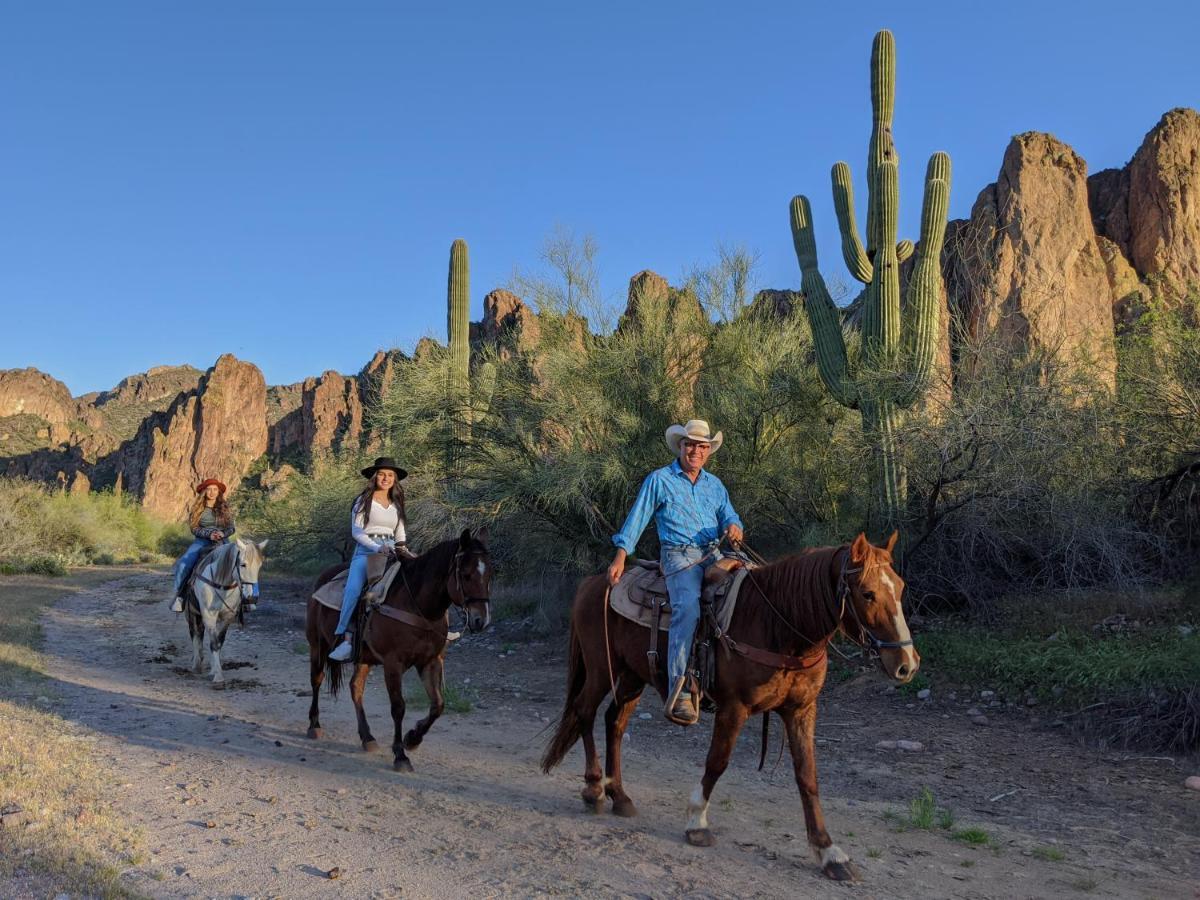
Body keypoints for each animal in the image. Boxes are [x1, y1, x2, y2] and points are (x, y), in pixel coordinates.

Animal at [184, 540, 267, 696]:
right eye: (243, 564)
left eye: (259, 565)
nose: (252, 599)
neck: (221, 584)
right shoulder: (208, 615)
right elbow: (213, 643)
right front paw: (218, 677)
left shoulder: (227, 617)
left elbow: (219, 642)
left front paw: (214, 671)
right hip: (192, 613)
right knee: (195, 634)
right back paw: (196, 664)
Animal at [304, 528, 492, 777]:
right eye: (466, 575)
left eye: (490, 575)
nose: (481, 620)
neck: (419, 607)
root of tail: (322, 578)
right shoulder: (394, 664)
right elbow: (398, 707)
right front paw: (401, 755)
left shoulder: (431, 662)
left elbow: (438, 705)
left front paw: (412, 739)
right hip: (317, 645)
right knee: (317, 680)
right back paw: (314, 726)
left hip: (364, 657)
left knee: (356, 688)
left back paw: (367, 737)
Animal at [544, 535, 916, 883]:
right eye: (867, 593)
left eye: (900, 587)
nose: (907, 664)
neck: (777, 625)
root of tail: (594, 582)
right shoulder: (734, 707)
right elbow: (717, 762)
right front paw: (697, 823)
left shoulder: (801, 710)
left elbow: (807, 777)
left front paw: (830, 853)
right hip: (600, 670)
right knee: (584, 712)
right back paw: (594, 789)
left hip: (634, 676)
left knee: (614, 722)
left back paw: (620, 796)